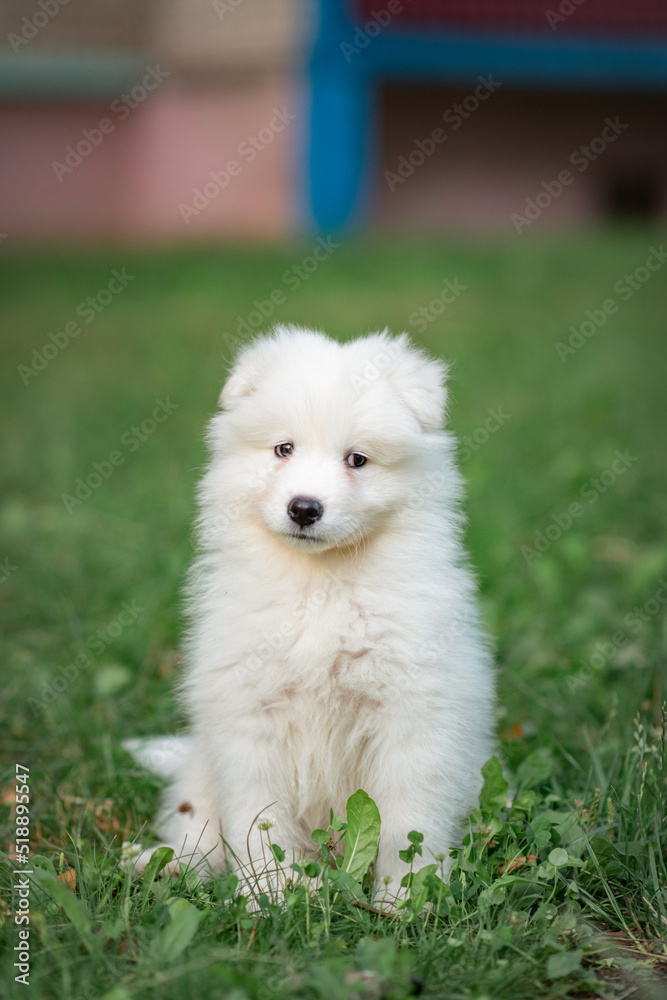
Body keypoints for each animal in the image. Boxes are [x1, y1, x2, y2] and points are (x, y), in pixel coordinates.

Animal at [130, 324, 496, 904]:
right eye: (284, 448)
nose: (304, 508)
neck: (320, 585)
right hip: (204, 766)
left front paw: (401, 902)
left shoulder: (411, 718)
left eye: (357, 459)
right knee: (198, 824)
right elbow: (259, 824)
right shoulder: (250, 716)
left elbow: (406, 825)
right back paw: (165, 864)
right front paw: (268, 899)